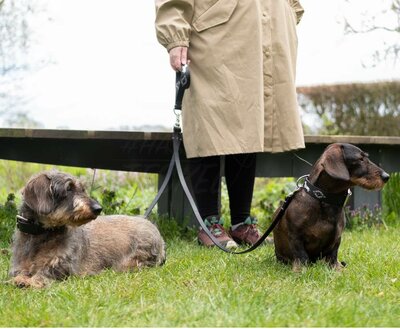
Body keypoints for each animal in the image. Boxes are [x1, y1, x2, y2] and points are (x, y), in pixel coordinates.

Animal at [9, 170, 166, 286]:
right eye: (68, 189)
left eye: (82, 189)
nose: (98, 208)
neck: (42, 234)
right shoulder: (18, 265)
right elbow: (20, 272)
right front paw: (20, 278)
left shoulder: (63, 265)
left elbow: (45, 272)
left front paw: (29, 281)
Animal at [274, 142, 390, 270]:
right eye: (360, 159)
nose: (387, 176)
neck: (324, 200)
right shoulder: (295, 236)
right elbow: (301, 255)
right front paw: (300, 270)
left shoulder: (336, 239)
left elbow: (332, 256)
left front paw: (336, 269)